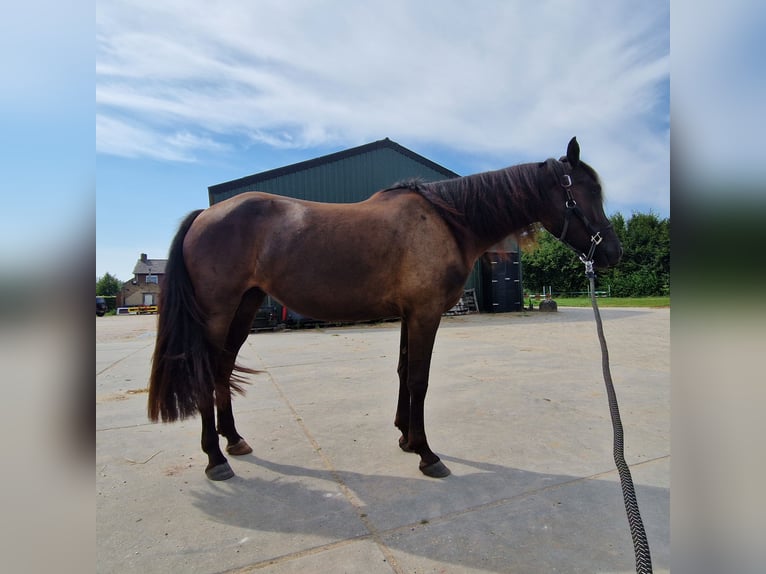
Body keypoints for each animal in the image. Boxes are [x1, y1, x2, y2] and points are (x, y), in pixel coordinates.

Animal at [148, 138, 624, 482]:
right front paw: (427, 453)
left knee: (223, 369)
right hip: (217, 313)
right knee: (206, 371)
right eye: (589, 191)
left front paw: (406, 437)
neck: (449, 221)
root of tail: (205, 215)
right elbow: (418, 378)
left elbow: (402, 371)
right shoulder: (426, 313)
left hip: (243, 310)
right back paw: (215, 459)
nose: (613, 253)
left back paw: (233, 441)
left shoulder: (409, 315)